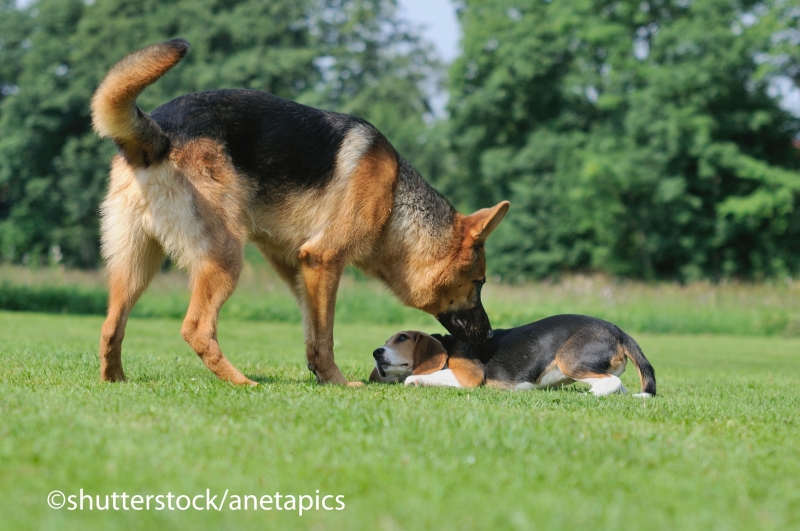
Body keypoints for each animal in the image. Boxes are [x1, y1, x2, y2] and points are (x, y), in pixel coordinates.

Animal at [90, 38, 510, 386]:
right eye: (479, 283)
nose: (491, 336)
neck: (395, 201)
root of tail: (158, 136)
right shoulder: (324, 261)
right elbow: (325, 336)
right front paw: (338, 382)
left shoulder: (297, 267)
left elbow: (311, 330)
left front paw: (322, 377)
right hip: (224, 260)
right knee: (196, 328)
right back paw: (242, 382)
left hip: (134, 267)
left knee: (111, 325)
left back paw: (116, 379)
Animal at [370, 316, 656, 394]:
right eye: (385, 341)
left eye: (402, 338)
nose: (376, 351)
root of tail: (618, 330)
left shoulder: (468, 376)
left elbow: (414, 378)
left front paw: (415, 379)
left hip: (568, 360)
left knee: (612, 382)